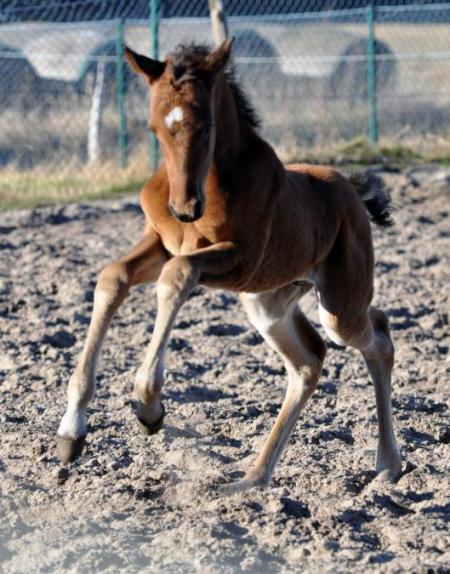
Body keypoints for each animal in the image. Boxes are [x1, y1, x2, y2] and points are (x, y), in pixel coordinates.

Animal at [57, 38, 400, 492]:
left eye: (207, 126)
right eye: (154, 129)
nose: (184, 208)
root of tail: (351, 189)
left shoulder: (238, 257)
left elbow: (178, 276)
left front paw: (149, 406)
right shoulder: (162, 242)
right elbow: (114, 277)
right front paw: (71, 431)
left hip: (338, 304)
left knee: (378, 335)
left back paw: (388, 465)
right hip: (267, 302)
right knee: (309, 361)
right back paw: (251, 480)